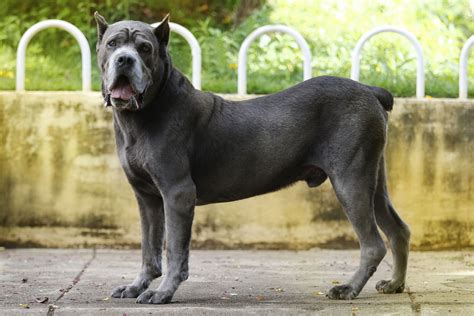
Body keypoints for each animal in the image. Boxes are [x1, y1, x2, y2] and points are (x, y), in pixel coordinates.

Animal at [93, 12, 412, 304]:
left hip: (350, 179)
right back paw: (394, 284)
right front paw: (136, 285)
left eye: (145, 48)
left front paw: (163, 292)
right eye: (112, 44)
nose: (125, 60)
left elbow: (174, 249)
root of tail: (370, 89)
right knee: (399, 230)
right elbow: (149, 247)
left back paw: (348, 288)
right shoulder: (147, 197)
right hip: (372, 178)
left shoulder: (177, 193)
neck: (145, 112)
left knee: (373, 244)